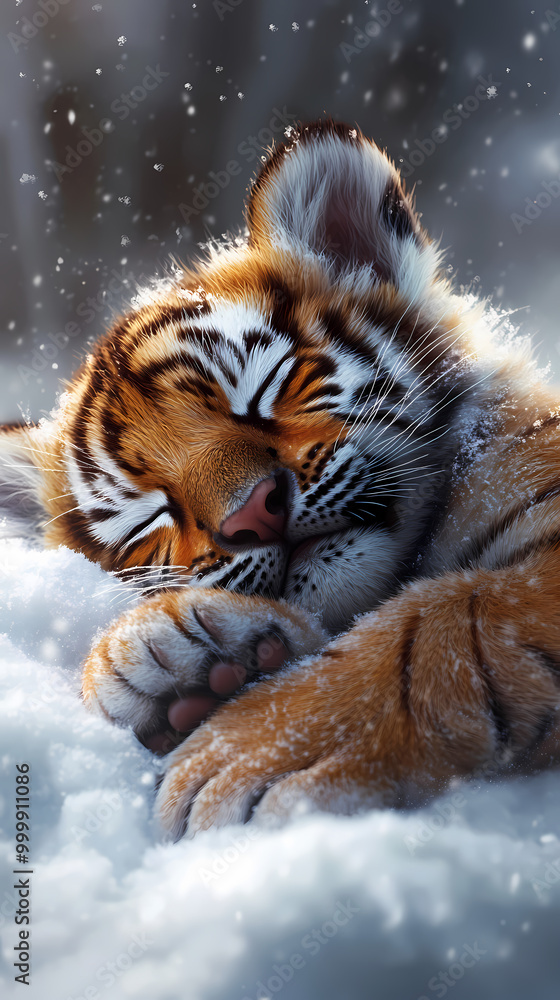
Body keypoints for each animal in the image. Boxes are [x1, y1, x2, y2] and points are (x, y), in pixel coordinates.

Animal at [2, 119, 560, 840]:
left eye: (262, 390)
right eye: (151, 511)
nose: (254, 514)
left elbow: (447, 625)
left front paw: (246, 753)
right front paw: (163, 663)